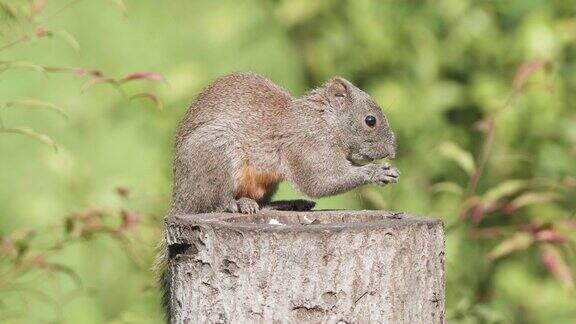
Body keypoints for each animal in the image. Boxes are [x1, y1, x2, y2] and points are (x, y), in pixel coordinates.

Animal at [159, 71, 400, 322]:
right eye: (370, 120)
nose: (393, 151)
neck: (324, 122)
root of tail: (181, 197)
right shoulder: (307, 146)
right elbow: (321, 181)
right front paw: (376, 172)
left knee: (262, 204)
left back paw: (288, 204)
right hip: (218, 152)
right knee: (217, 201)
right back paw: (238, 204)